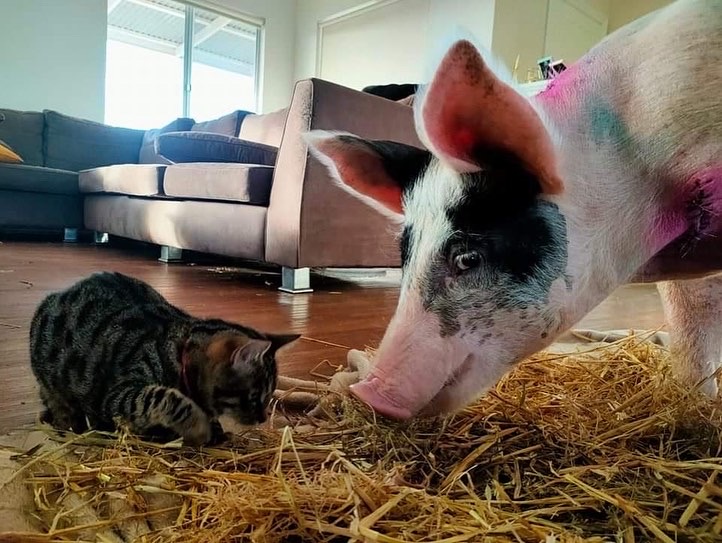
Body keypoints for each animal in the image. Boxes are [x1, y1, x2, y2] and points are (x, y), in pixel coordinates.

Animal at [28, 272, 298, 446]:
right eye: (254, 398)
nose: (263, 417)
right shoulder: (116, 395)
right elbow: (163, 397)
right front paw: (198, 427)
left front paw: (214, 430)